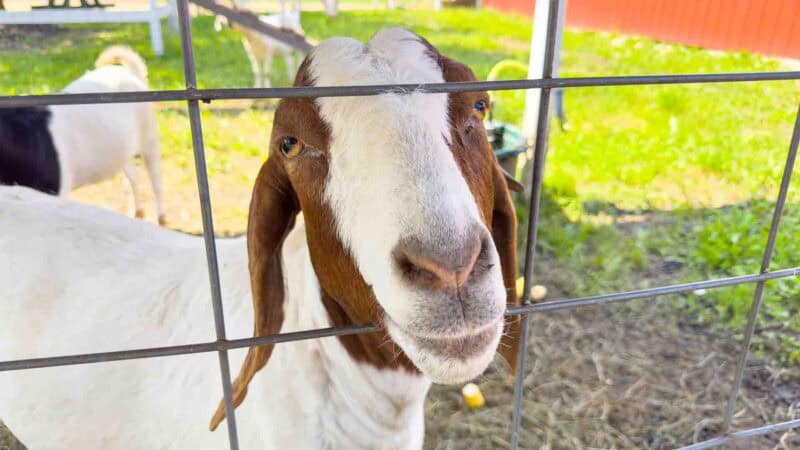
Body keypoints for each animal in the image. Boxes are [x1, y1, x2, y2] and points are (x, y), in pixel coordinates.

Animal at [0, 45, 166, 225]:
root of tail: (131, 72)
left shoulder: (57, 189)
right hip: (121, 148)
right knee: (133, 176)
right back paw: (136, 214)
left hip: (149, 133)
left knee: (156, 177)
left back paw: (161, 219)